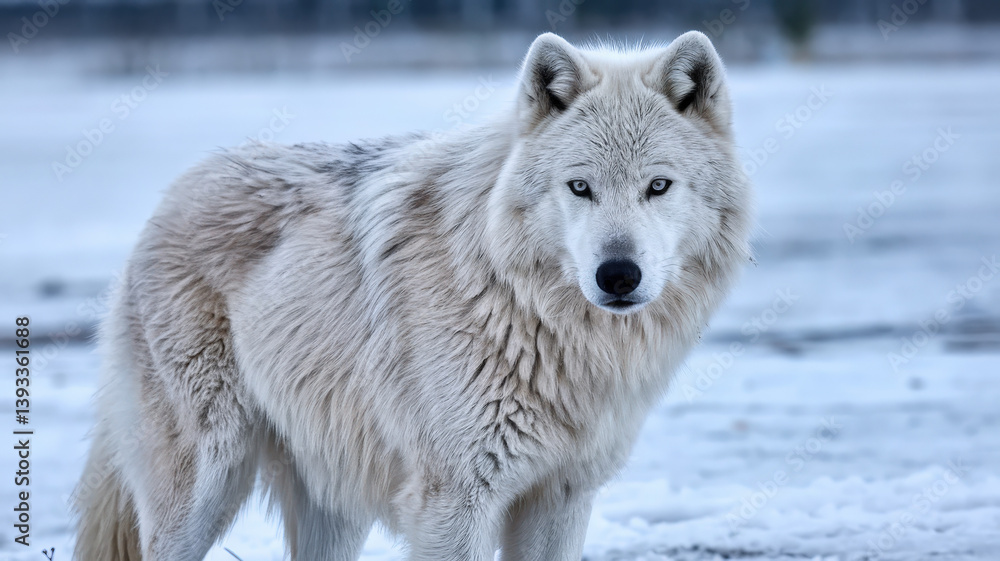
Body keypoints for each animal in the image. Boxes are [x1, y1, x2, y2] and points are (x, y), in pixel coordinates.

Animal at [73, 31, 752, 561]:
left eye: (658, 186)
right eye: (579, 187)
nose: (617, 275)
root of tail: (173, 193)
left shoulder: (561, 496)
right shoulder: (454, 499)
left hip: (332, 500)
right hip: (204, 483)